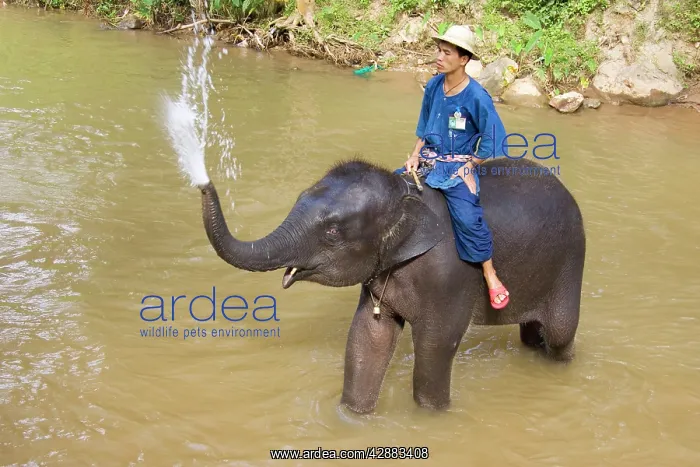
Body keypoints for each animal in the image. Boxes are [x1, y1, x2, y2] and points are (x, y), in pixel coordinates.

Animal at [195, 156, 586, 414]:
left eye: (333, 231)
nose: (202, 183)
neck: (405, 194)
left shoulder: (452, 274)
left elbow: (436, 345)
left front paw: (431, 417)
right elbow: (368, 338)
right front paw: (351, 418)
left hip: (570, 262)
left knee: (560, 332)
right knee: (532, 331)